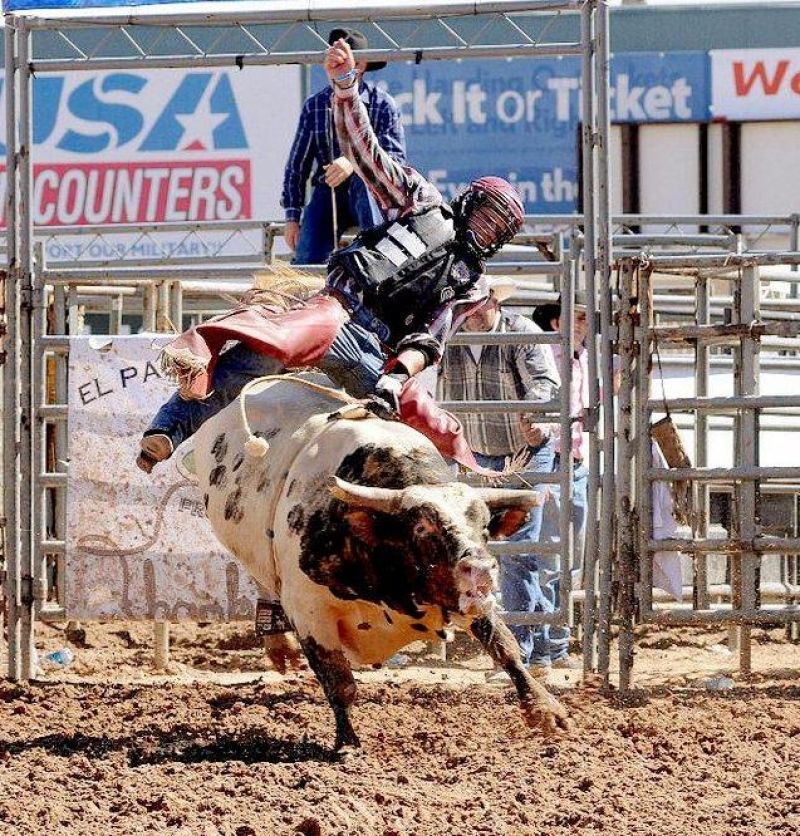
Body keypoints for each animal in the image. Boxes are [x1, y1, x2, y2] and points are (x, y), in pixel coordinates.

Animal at [191, 376, 572, 748]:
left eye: (483, 526)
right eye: (421, 526)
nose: (479, 570)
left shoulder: (464, 599)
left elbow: (504, 646)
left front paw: (545, 710)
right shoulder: (309, 612)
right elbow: (338, 680)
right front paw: (348, 743)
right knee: (265, 583)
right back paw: (279, 646)